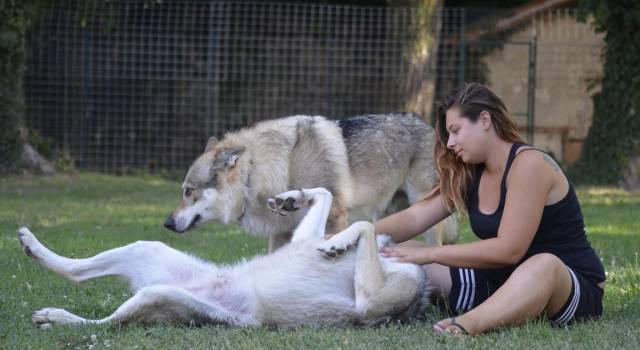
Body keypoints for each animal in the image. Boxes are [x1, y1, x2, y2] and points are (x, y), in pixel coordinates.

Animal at [20, 189, 432, 328]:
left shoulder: (369, 304)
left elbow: (365, 223)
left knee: (98, 324)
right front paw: (292, 198)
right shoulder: (303, 238)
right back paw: (31, 244)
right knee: (76, 272)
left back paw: (55, 317)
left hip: (159, 295)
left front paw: (340, 243)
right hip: (148, 251)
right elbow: (328, 195)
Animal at [162, 113, 458, 252]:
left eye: (188, 191)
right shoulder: (279, 233)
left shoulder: (336, 218)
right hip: (390, 215)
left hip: (426, 215)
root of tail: (430, 127)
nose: (166, 223)